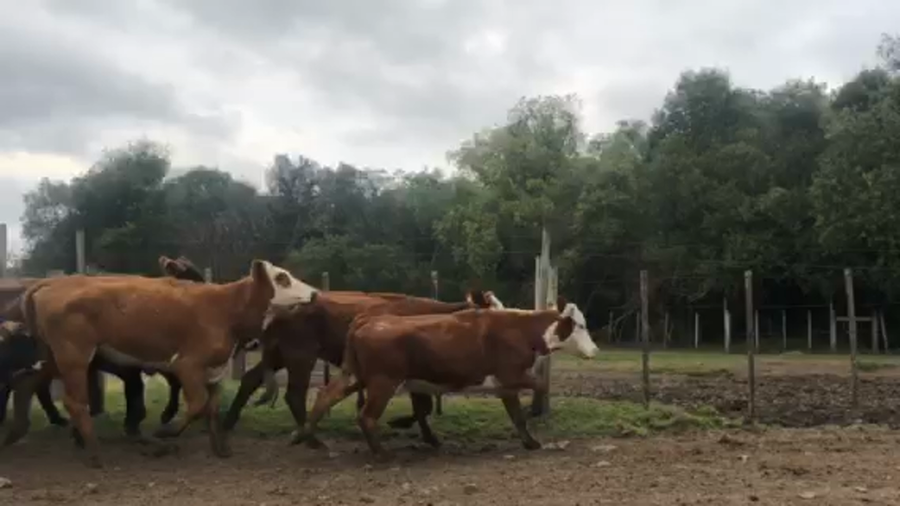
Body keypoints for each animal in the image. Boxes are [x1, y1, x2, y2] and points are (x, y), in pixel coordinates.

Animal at [6, 258, 318, 468]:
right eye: (282, 278)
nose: (315, 293)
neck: (224, 307)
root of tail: (49, 283)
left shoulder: (212, 371)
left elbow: (212, 408)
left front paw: (220, 449)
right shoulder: (187, 366)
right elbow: (197, 405)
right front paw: (162, 436)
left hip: (53, 358)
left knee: (26, 386)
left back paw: (15, 433)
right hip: (75, 358)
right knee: (75, 403)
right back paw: (95, 453)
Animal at [220, 290, 494, 445]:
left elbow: (422, 408)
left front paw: (425, 435)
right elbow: (422, 407)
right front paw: (408, 426)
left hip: (279, 355)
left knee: (250, 379)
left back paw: (228, 423)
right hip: (301, 357)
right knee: (295, 394)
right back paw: (311, 439)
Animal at [296, 296, 599, 460]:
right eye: (581, 325)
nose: (595, 350)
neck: (520, 328)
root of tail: (366, 320)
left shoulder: (505, 385)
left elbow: (516, 416)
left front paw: (531, 443)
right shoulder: (510, 375)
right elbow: (540, 384)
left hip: (355, 375)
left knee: (326, 396)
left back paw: (309, 438)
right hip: (383, 382)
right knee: (366, 416)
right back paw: (383, 454)